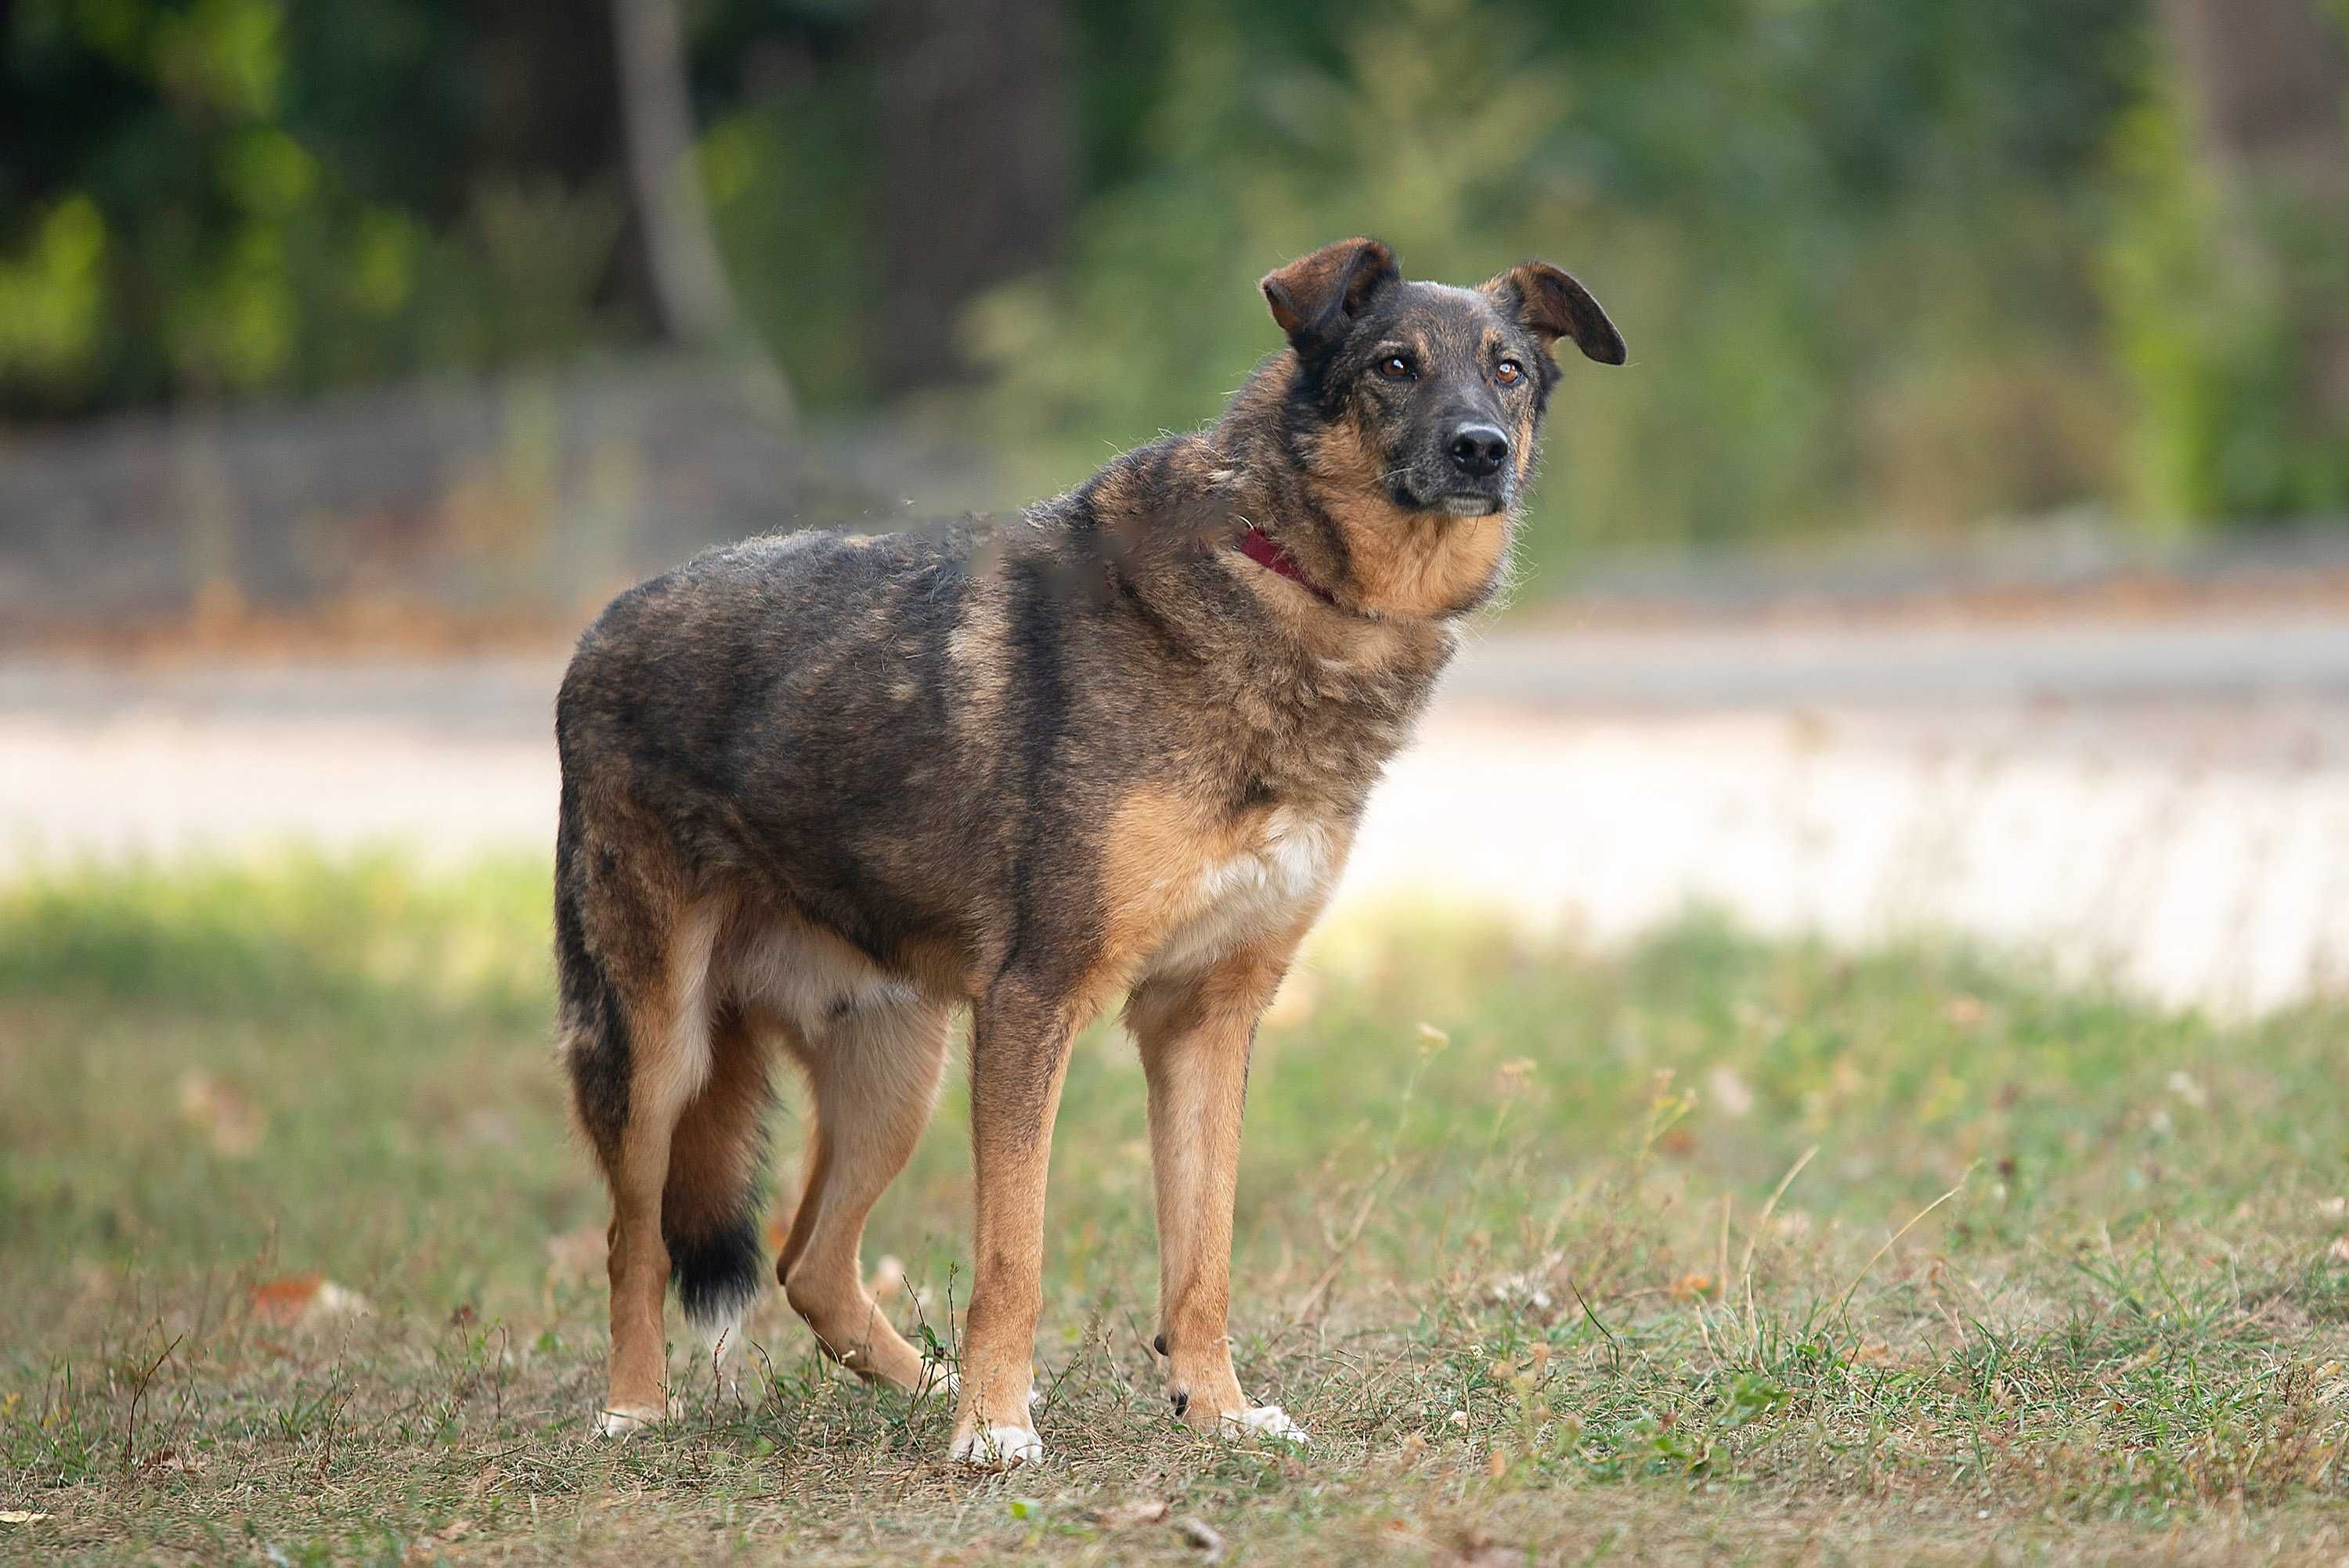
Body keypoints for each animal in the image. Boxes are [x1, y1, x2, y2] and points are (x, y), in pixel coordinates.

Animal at [554, 239, 1616, 1465]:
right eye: (1395, 363)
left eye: (1507, 370)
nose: (1481, 448)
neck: (1290, 577)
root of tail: (603, 624)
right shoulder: (1036, 1000)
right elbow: (1014, 1253)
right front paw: (992, 1430)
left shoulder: (1206, 1017)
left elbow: (1202, 1255)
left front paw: (1218, 1408)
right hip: (656, 1050)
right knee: (634, 1238)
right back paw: (639, 1405)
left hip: (895, 1073)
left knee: (807, 1260)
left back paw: (921, 1385)